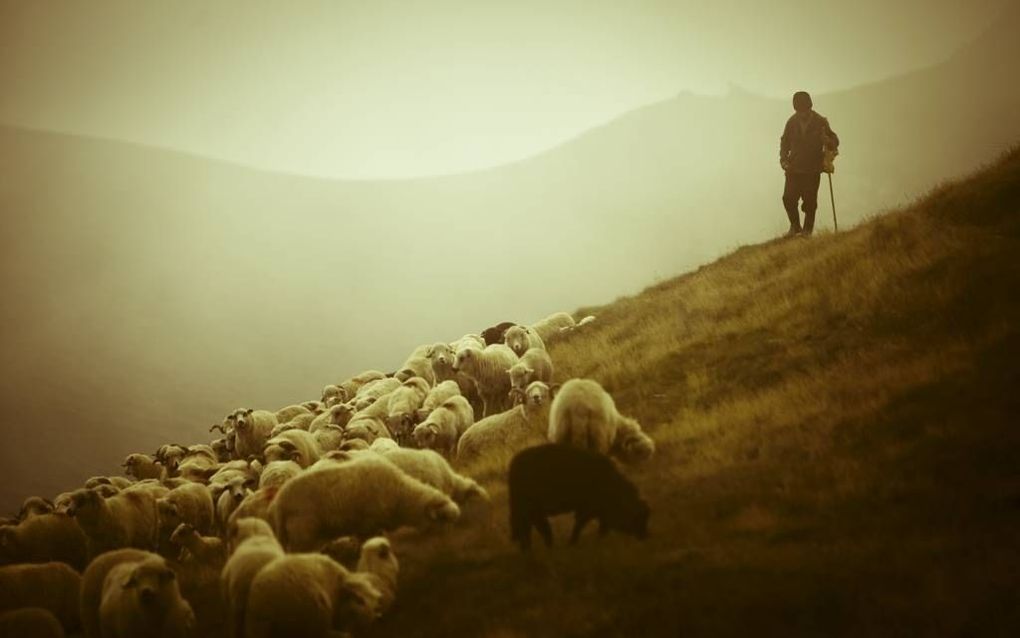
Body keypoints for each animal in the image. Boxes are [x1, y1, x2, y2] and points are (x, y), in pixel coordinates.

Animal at [267, 455, 459, 551]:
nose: (449, 543)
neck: (400, 495)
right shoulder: (367, 524)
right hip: (303, 532)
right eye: (443, 518)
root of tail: (280, 501)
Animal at [505, 443, 648, 547]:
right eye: (639, 518)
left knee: (529, 528)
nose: (646, 536)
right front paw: (572, 542)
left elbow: (600, 526)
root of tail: (513, 465)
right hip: (528, 509)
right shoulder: (587, 509)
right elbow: (580, 526)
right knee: (533, 528)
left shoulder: (597, 511)